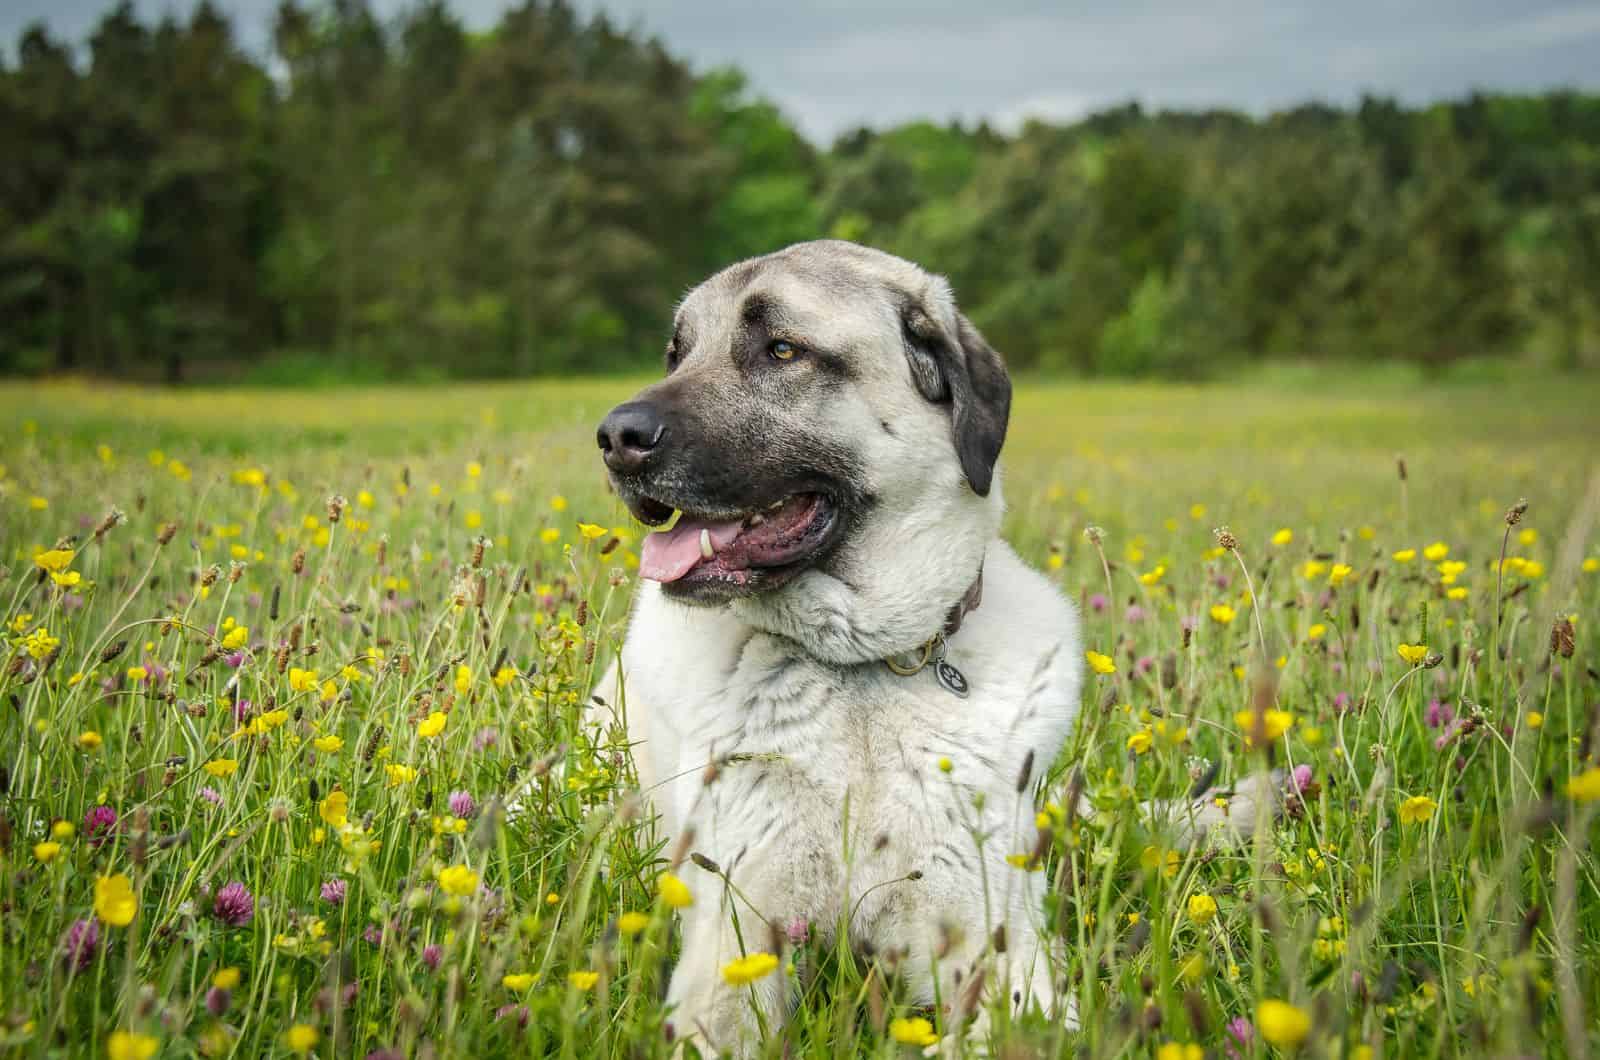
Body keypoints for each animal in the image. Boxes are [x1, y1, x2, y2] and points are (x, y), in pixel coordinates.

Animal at [582, 240, 1267, 1056]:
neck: (860, 672)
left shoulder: (997, 938)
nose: (615, 438)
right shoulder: (734, 939)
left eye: (782, 349)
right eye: (676, 354)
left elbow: (1009, 1030)